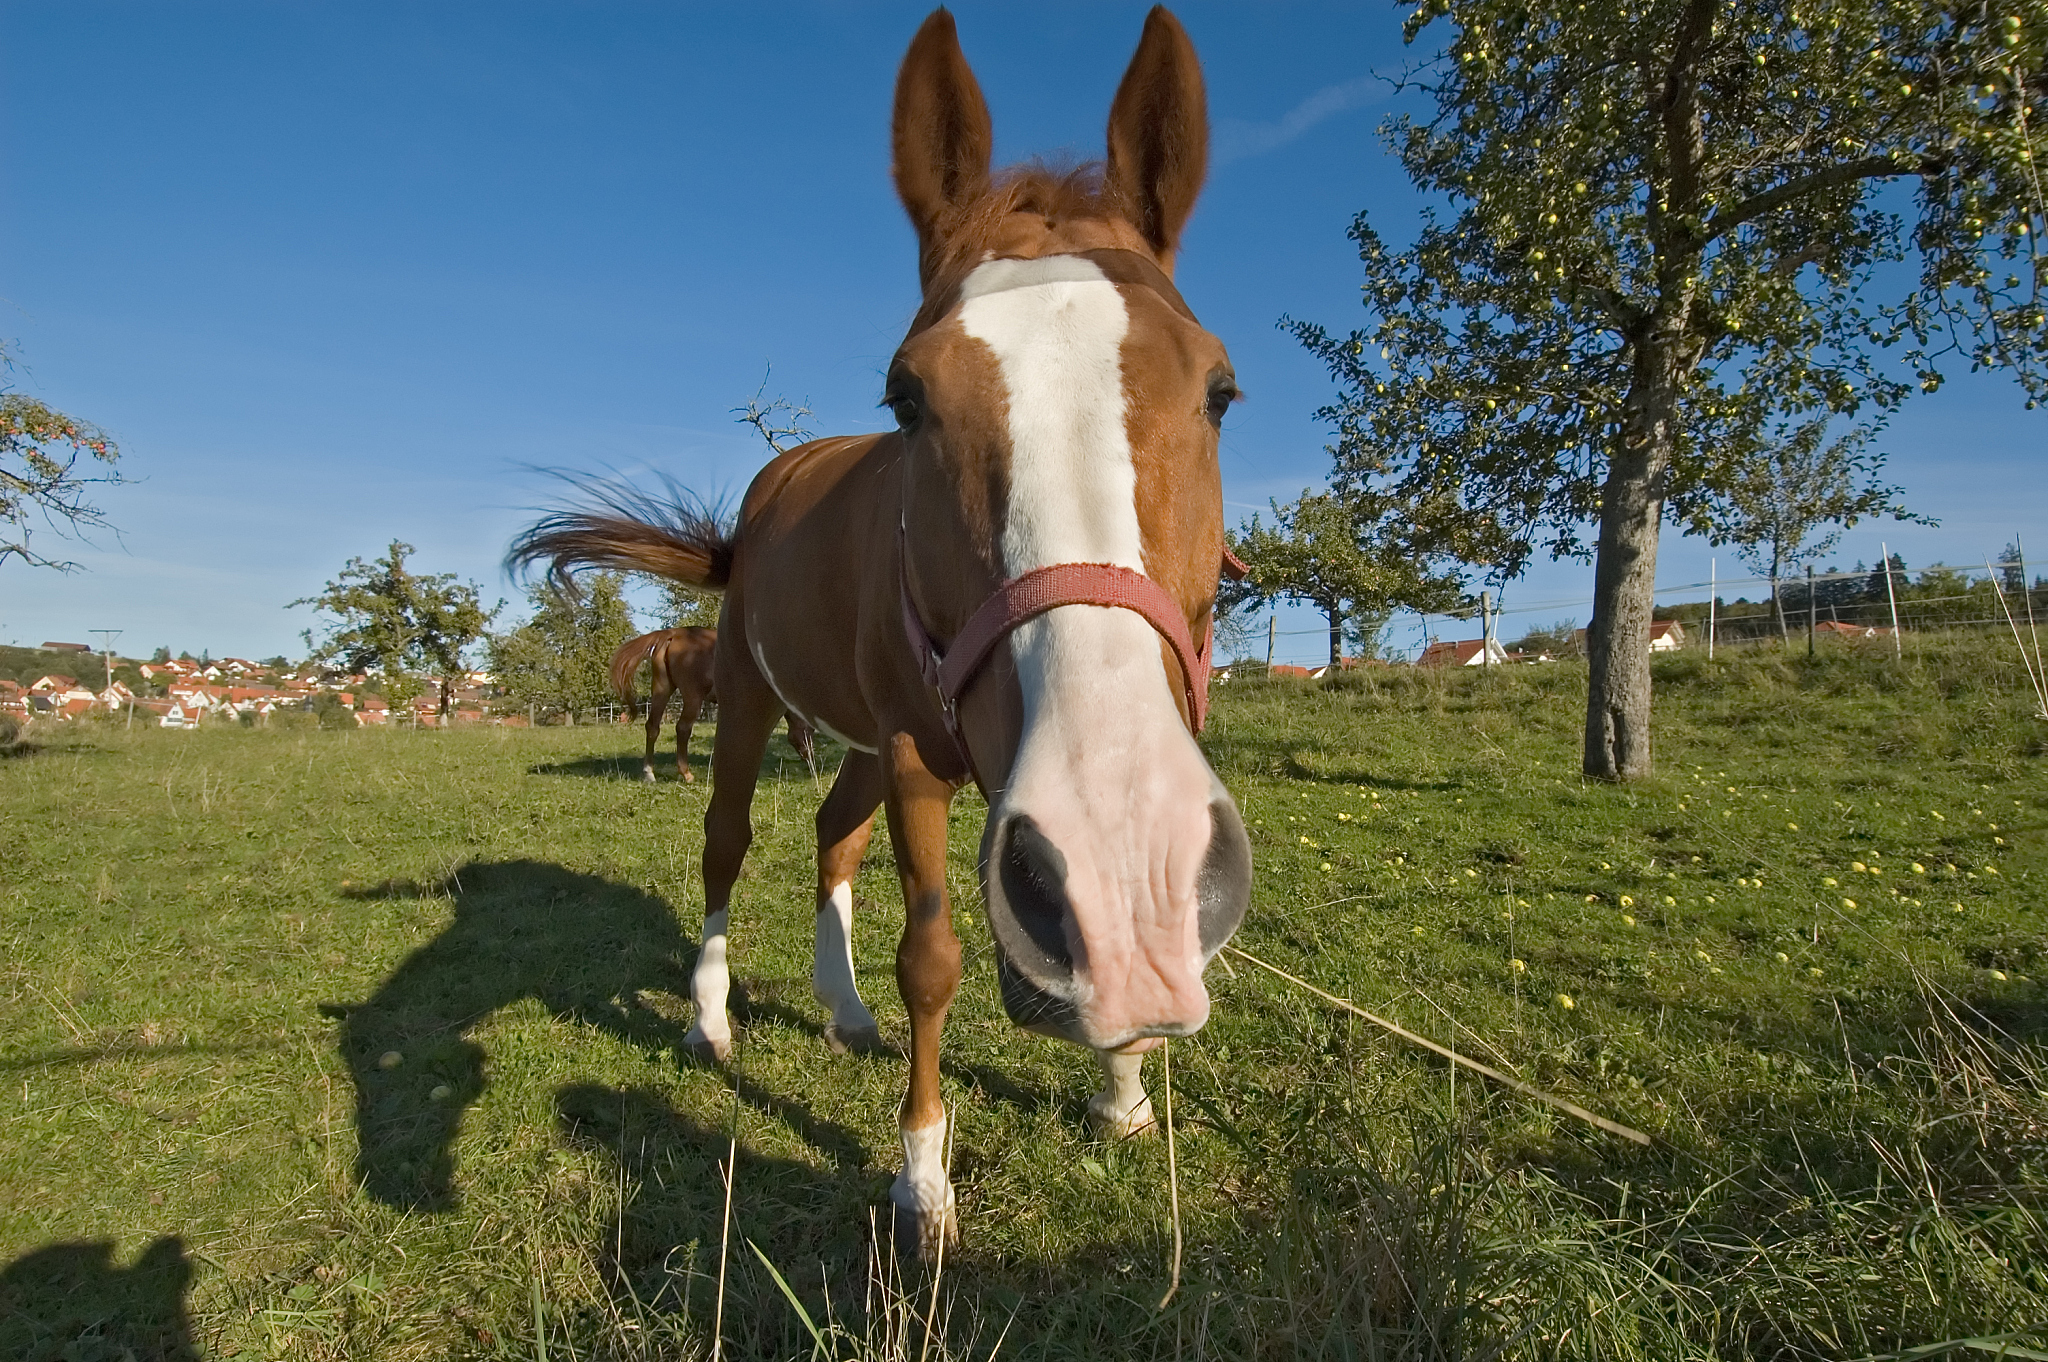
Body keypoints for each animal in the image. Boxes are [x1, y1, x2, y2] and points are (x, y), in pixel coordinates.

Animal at [610, 626, 816, 783]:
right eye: (811, 731)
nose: (812, 764)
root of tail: (673, 634)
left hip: (662, 689)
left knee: (652, 727)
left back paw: (649, 773)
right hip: (693, 697)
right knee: (682, 729)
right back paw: (686, 774)